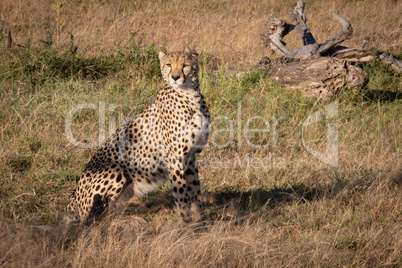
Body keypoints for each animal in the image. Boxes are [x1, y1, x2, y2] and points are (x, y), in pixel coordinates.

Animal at [66, 50, 210, 224]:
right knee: (97, 217)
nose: (175, 77)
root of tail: (73, 197)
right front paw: (185, 223)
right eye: (169, 64)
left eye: (186, 65)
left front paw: (202, 220)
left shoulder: (191, 157)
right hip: (116, 169)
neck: (190, 95)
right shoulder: (175, 158)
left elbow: (195, 191)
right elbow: (181, 194)